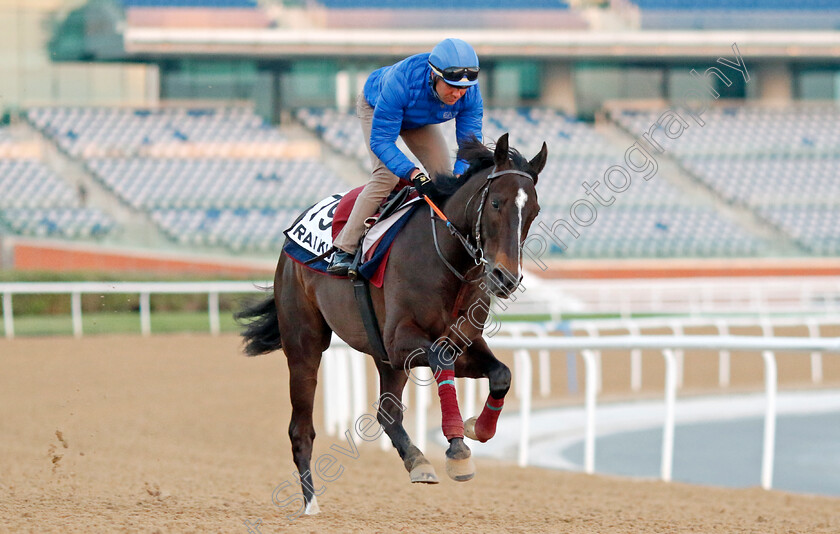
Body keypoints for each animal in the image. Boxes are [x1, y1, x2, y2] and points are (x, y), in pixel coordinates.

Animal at [240, 133, 548, 516]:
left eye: (534, 211)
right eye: (496, 203)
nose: (506, 278)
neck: (447, 260)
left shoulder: (458, 342)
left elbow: (502, 374)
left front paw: (479, 429)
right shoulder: (402, 341)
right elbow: (442, 360)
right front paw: (458, 449)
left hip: (384, 357)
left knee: (387, 413)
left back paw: (418, 461)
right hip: (304, 343)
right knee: (301, 428)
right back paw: (310, 504)